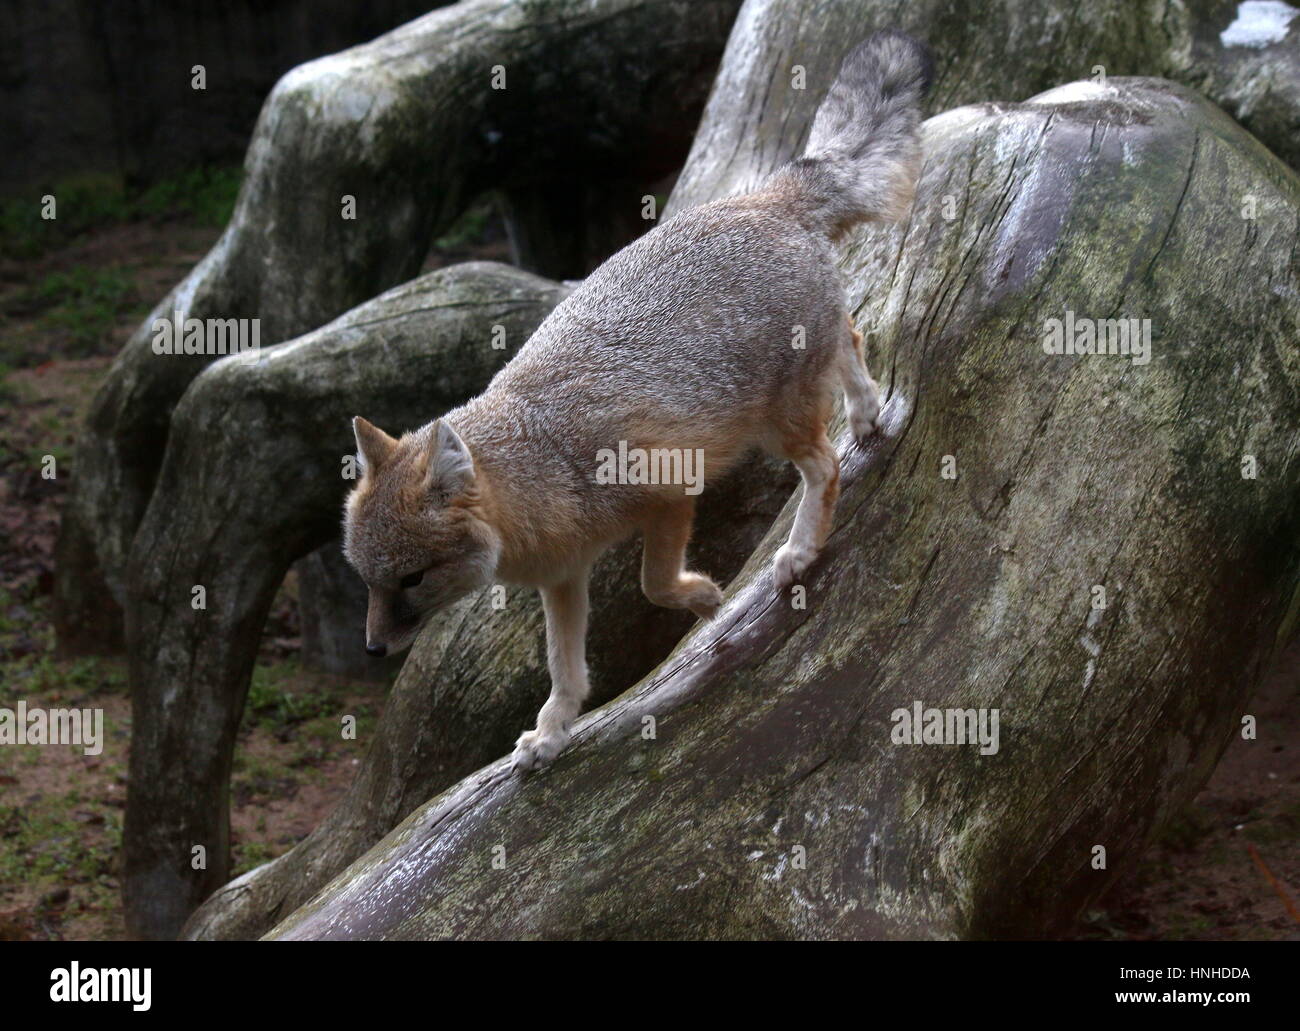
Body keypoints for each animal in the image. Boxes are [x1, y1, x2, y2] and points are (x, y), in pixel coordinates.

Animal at [344, 31, 933, 771]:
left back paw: (800, 549)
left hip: (776, 425)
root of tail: (764, 199)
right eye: (368, 581)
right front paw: (552, 731)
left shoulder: (668, 492)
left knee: (824, 466)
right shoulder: (563, 579)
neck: (546, 465)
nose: (371, 648)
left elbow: (654, 584)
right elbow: (565, 668)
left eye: (412, 579)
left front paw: (706, 598)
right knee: (854, 337)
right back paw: (866, 412)